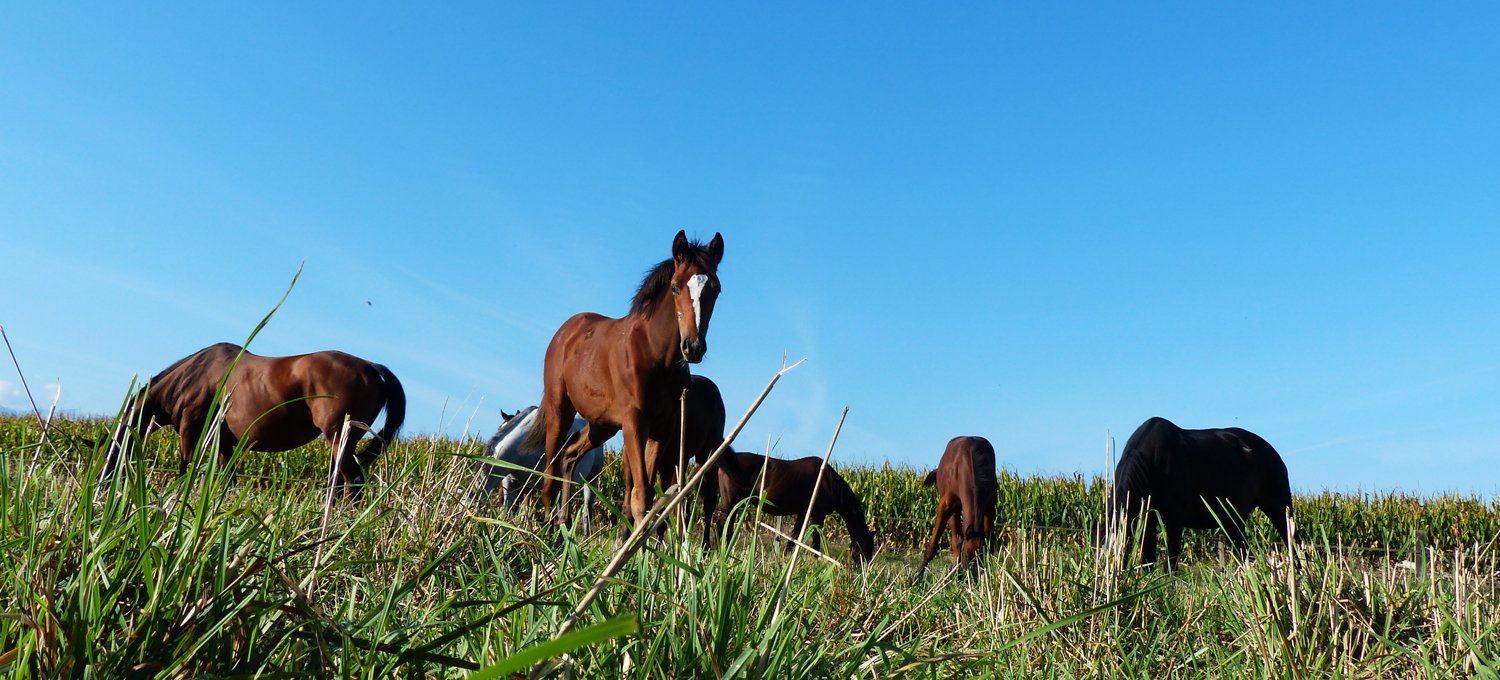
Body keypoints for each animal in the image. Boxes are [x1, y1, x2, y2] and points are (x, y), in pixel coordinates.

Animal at [102, 342, 405, 501]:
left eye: (108, 455)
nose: (102, 485)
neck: (191, 377)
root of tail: (371, 367)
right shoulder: (224, 444)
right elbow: (228, 479)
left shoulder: (190, 432)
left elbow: (184, 468)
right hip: (340, 443)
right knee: (340, 482)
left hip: (339, 437)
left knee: (353, 483)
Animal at [530, 230, 725, 526]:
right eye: (675, 287)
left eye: (716, 288)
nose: (693, 347)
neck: (655, 354)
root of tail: (566, 331)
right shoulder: (635, 422)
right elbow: (641, 493)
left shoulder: (662, 429)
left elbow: (648, 496)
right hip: (559, 410)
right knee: (549, 474)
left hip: (603, 425)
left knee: (570, 456)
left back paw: (564, 526)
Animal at [715, 450, 876, 563]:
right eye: (868, 545)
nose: (863, 565)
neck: (829, 482)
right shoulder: (818, 514)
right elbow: (816, 538)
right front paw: (815, 561)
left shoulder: (803, 513)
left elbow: (794, 536)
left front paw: (785, 558)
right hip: (731, 503)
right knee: (723, 525)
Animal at [914, 436, 997, 580]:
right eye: (966, 555)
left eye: (980, 556)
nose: (973, 579)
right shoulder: (945, 505)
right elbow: (933, 546)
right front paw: (916, 578)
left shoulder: (989, 508)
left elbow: (989, 544)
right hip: (954, 509)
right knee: (956, 540)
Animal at [1109, 416, 1293, 566]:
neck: (1153, 461)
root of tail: (1271, 451)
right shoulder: (1148, 519)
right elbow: (1148, 560)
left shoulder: (1174, 521)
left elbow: (1171, 563)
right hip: (1234, 520)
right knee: (1244, 554)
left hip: (1279, 509)